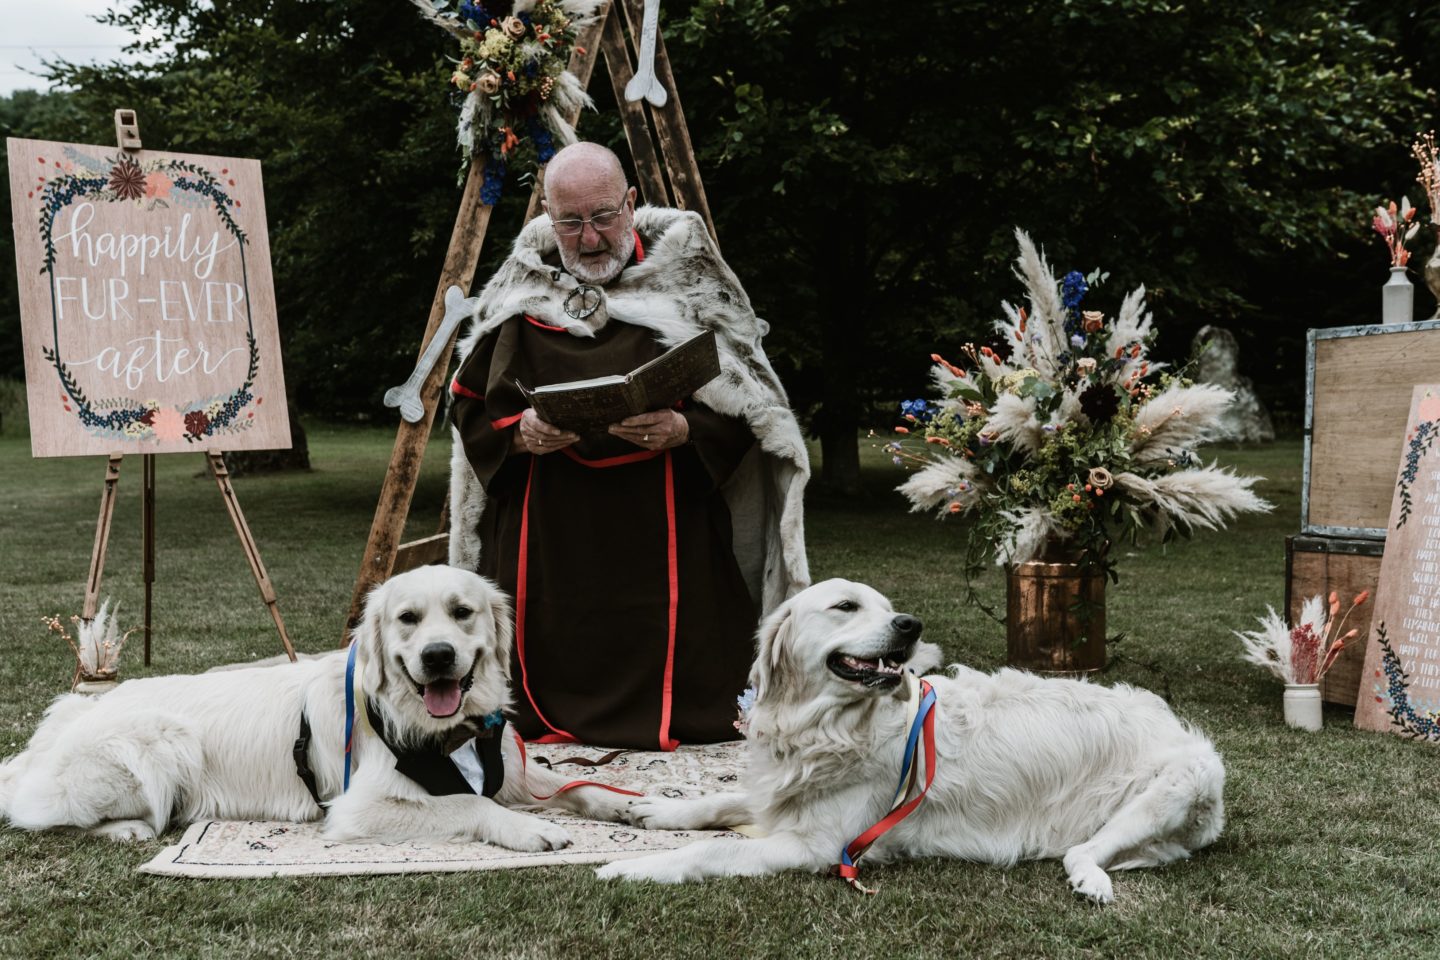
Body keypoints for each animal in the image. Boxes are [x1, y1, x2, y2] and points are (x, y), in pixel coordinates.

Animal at [0, 564, 630, 846]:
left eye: (462, 612)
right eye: (407, 618)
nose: (438, 657)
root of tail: (75, 709)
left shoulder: (513, 772)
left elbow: (578, 785)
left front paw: (636, 809)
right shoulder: (357, 808)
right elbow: (468, 805)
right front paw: (528, 830)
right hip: (161, 741)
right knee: (37, 811)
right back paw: (128, 828)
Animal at [599, 578, 1226, 903]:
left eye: (888, 607)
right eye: (845, 606)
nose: (911, 624)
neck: (827, 727)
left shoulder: (819, 846)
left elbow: (715, 848)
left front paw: (634, 867)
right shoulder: (782, 792)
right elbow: (723, 800)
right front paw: (648, 809)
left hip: (1188, 776)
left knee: (1082, 851)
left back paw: (1090, 878)